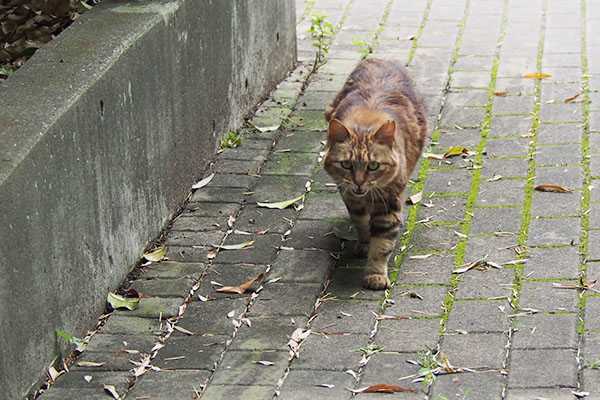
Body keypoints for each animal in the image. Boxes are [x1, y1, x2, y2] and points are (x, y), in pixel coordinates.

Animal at [326, 58, 428, 290]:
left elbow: (382, 245)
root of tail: (384, 59)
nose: (359, 183)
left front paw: (375, 274)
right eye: (346, 164)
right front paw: (364, 245)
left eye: (373, 165)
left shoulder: (388, 205)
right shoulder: (351, 198)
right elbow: (362, 225)